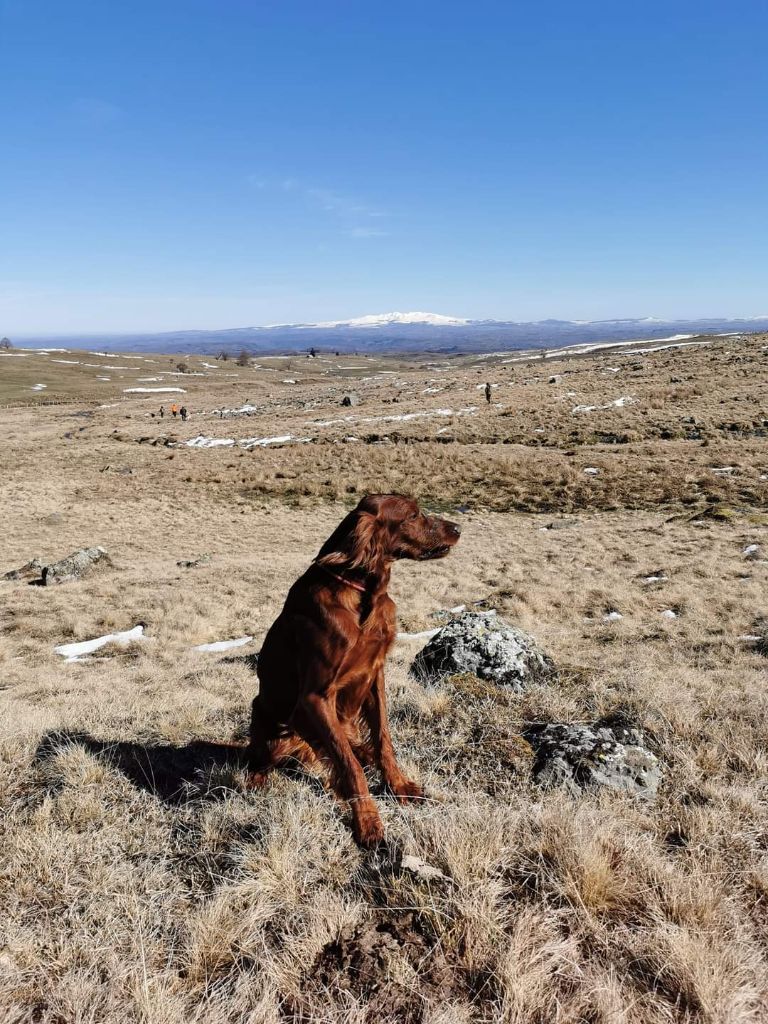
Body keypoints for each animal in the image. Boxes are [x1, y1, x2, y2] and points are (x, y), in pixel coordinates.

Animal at [249, 491, 460, 843]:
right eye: (413, 515)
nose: (458, 528)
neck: (362, 594)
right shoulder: (315, 698)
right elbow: (349, 765)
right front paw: (368, 820)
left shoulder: (375, 674)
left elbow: (383, 740)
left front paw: (398, 785)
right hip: (269, 722)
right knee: (259, 757)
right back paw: (256, 780)